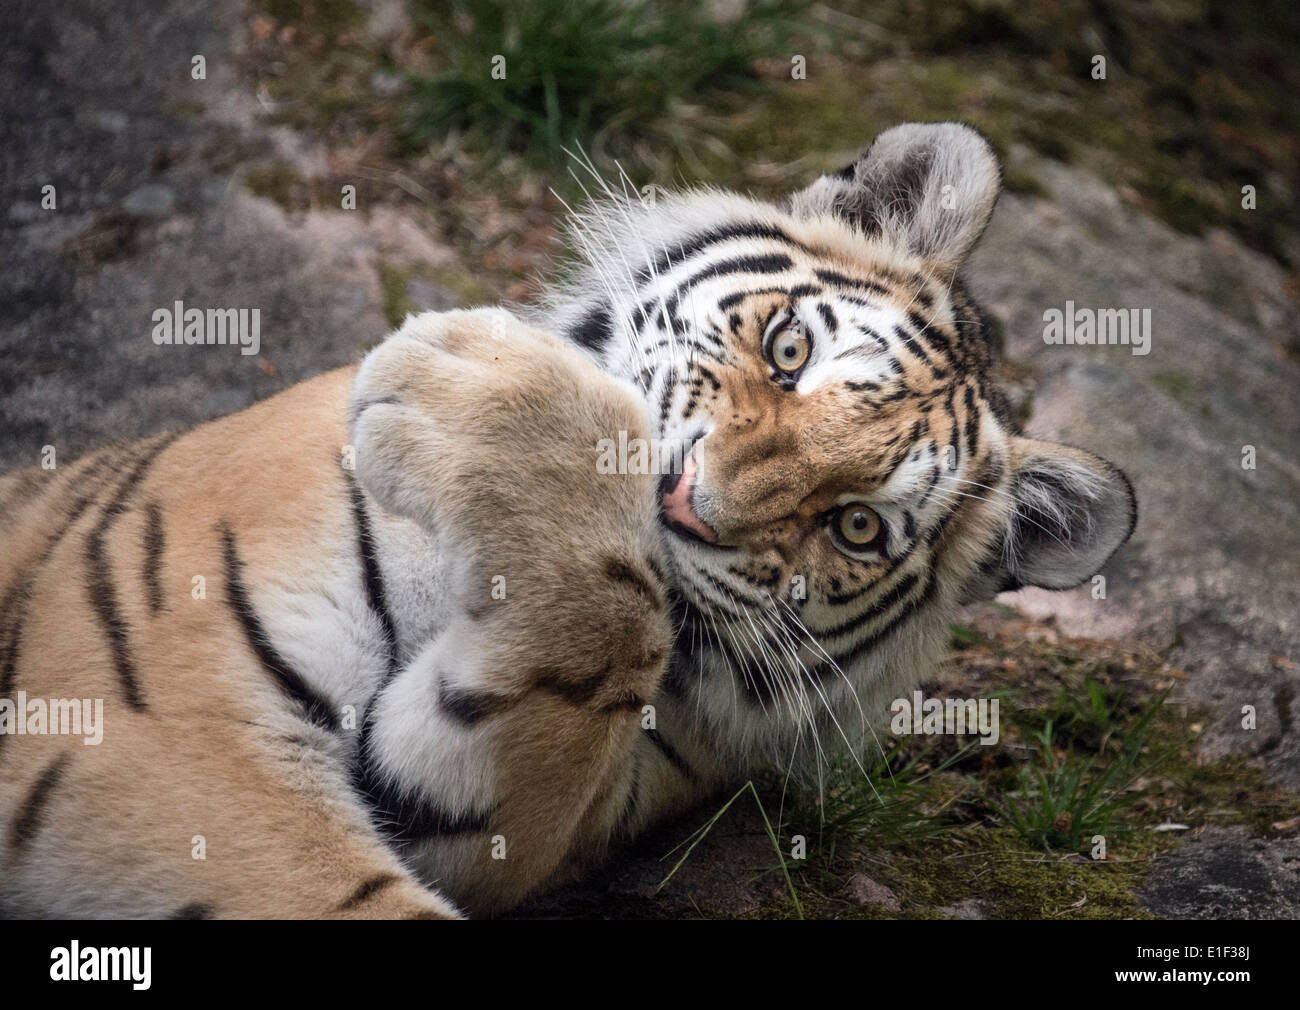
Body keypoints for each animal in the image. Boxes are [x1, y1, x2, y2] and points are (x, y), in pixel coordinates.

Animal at [0, 122, 1135, 919]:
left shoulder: (503, 816)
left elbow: (601, 635)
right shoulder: (162, 702)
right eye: (790, 350)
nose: (684, 506)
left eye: (855, 527)